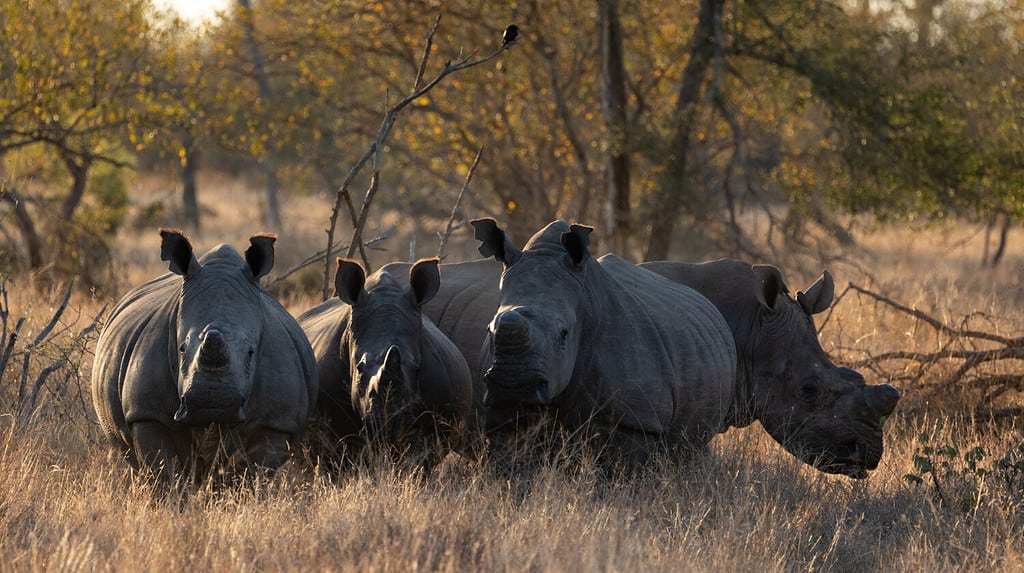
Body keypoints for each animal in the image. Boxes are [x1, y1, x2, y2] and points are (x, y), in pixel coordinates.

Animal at [90, 230, 317, 480]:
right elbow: (164, 472)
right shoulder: (147, 413)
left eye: (251, 353)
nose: (212, 406)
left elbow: (252, 473)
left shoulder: (275, 422)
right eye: (181, 348)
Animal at [468, 216, 741, 468]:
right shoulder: (499, 412)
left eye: (564, 334)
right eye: (489, 330)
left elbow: (623, 469)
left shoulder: (636, 418)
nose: (513, 385)